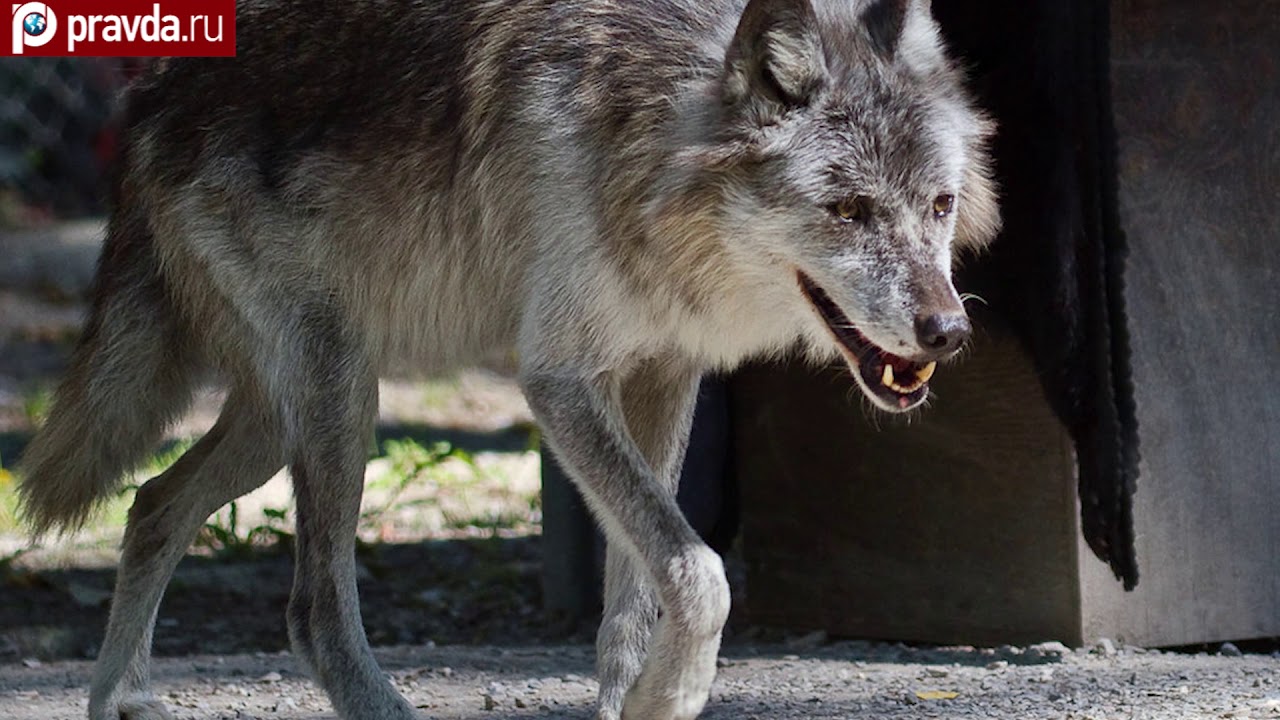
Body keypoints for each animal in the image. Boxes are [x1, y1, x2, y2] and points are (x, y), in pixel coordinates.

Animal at [17, 0, 998, 712]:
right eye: (849, 211)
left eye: (940, 206)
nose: (949, 333)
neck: (646, 136)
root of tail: (154, 87)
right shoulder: (560, 382)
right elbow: (700, 572)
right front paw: (671, 695)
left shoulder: (663, 376)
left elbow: (634, 604)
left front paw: (639, 700)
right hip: (343, 400)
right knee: (312, 613)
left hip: (279, 423)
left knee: (151, 505)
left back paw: (118, 700)